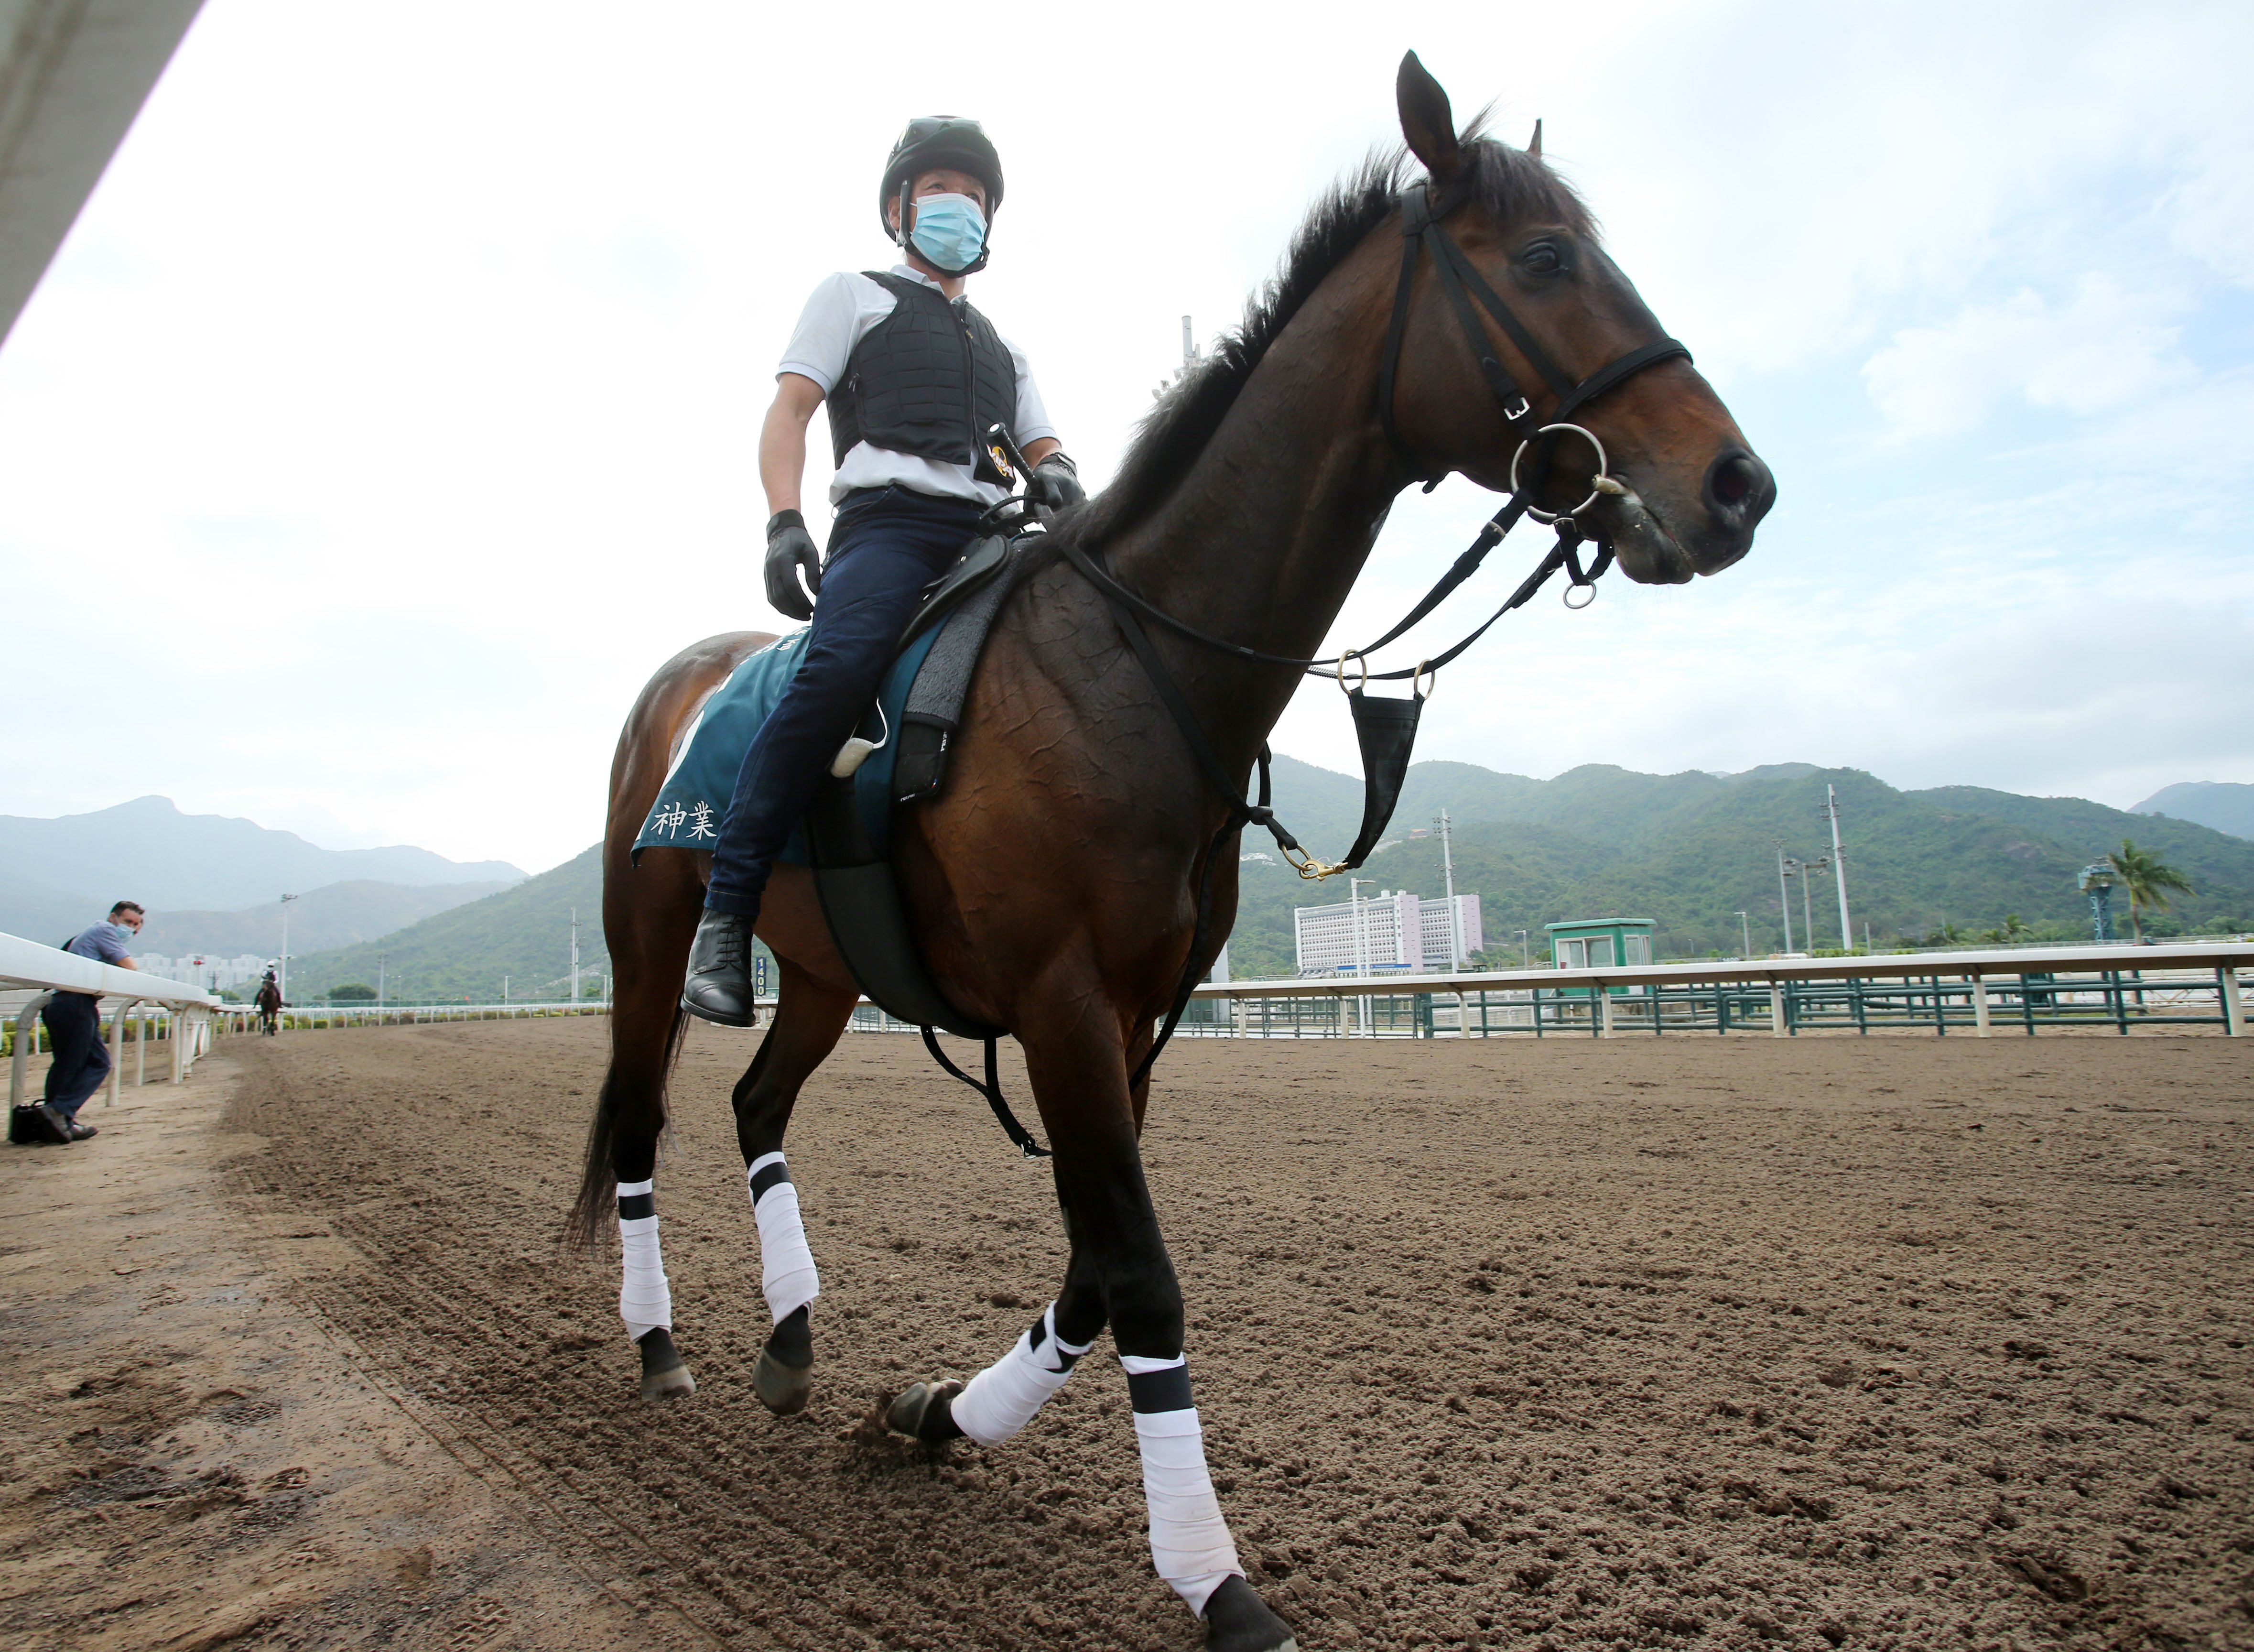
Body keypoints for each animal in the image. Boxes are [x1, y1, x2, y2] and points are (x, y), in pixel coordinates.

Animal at [572, 51, 1767, 1650]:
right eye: (1544, 259)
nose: (1739, 485)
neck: (1131, 663)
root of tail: (680, 681)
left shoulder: (1143, 1013)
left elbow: (1092, 1267)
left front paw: (937, 1413)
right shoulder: (1065, 1003)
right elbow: (1138, 1273)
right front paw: (1214, 1577)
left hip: (824, 971)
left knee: (759, 1103)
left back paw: (791, 1337)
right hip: (646, 939)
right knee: (644, 1123)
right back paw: (660, 1351)